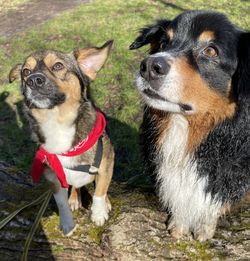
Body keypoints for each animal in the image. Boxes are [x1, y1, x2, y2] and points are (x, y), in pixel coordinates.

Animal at [9, 39, 114, 235]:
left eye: (58, 66)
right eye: (26, 72)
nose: (33, 80)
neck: (57, 122)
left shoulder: (107, 163)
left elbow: (99, 192)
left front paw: (99, 214)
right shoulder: (53, 177)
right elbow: (61, 203)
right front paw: (67, 223)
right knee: (75, 188)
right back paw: (74, 198)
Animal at [130, 11, 250, 241]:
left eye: (210, 50)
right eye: (164, 42)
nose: (149, 67)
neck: (184, 127)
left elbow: (213, 204)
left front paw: (204, 229)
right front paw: (179, 224)